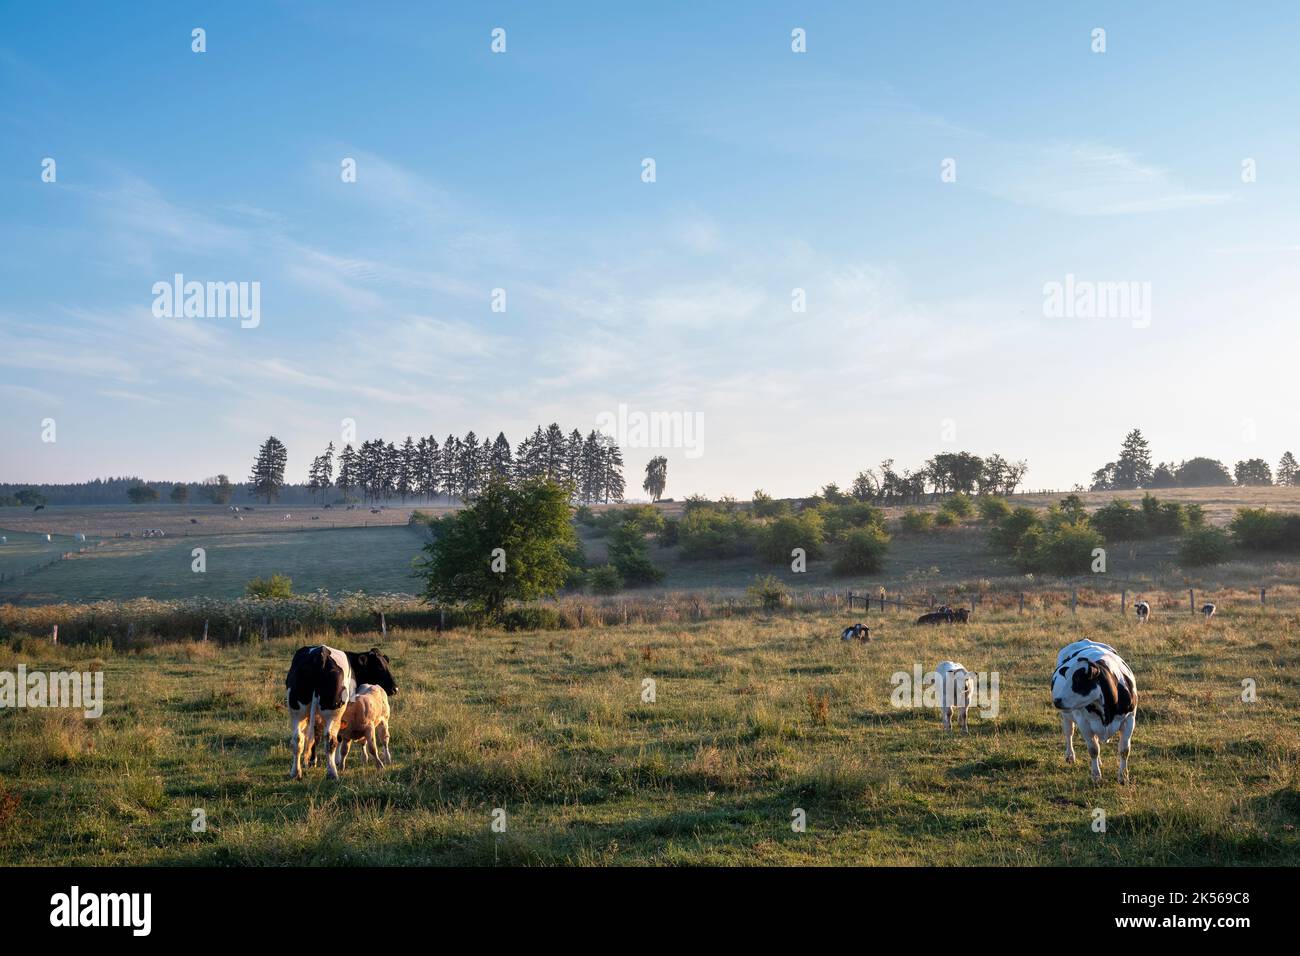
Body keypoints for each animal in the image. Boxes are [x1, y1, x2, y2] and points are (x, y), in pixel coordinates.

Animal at [287, 647, 397, 780]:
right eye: (379, 666)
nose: (395, 689)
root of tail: (320, 653)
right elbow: (339, 738)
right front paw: (338, 760)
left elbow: (315, 736)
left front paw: (312, 761)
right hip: (333, 714)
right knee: (330, 739)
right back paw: (332, 772)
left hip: (297, 713)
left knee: (297, 739)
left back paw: (296, 772)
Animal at [1055, 642, 1138, 785]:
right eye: (1066, 677)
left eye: (1078, 680)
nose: (1057, 700)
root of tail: (1085, 640)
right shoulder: (1084, 723)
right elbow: (1093, 749)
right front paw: (1096, 776)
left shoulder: (1129, 720)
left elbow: (1124, 750)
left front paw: (1123, 777)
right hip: (1066, 715)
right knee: (1069, 733)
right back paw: (1070, 756)